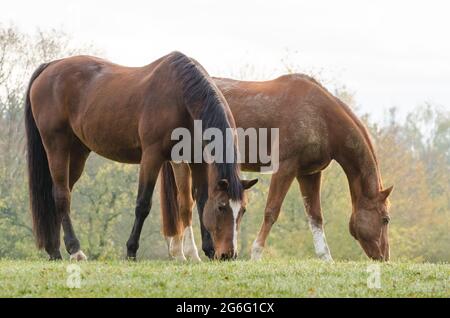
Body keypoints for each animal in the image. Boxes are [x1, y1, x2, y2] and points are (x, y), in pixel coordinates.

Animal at [24, 52, 256, 260]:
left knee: (60, 194)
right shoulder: (152, 157)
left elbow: (201, 200)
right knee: (61, 195)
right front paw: (131, 250)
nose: (228, 254)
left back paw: (54, 249)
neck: (182, 98)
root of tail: (51, 66)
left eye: (243, 210)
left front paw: (207, 249)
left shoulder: (196, 159)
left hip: (78, 152)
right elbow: (143, 204)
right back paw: (74, 250)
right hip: (57, 146)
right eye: (221, 207)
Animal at [163, 74, 394, 260]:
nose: (384, 257)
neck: (320, 115)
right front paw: (256, 255)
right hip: (183, 162)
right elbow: (271, 211)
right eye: (385, 219)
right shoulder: (285, 168)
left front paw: (326, 259)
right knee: (185, 205)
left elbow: (316, 217)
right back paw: (187, 254)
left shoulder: (309, 174)